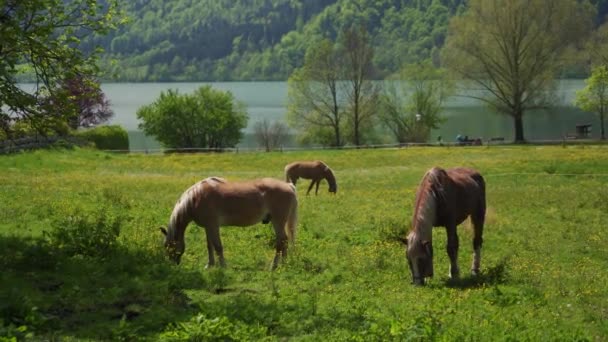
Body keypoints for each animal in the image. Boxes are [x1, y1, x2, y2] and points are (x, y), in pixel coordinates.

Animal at [159, 176, 296, 270]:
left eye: (169, 246)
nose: (173, 264)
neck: (196, 198)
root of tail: (289, 186)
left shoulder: (213, 226)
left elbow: (218, 246)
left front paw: (223, 266)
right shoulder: (208, 227)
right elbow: (209, 246)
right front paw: (210, 265)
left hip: (278, 222)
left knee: (281, 241)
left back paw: (275, 265)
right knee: (284, 241)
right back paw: (284, 264)